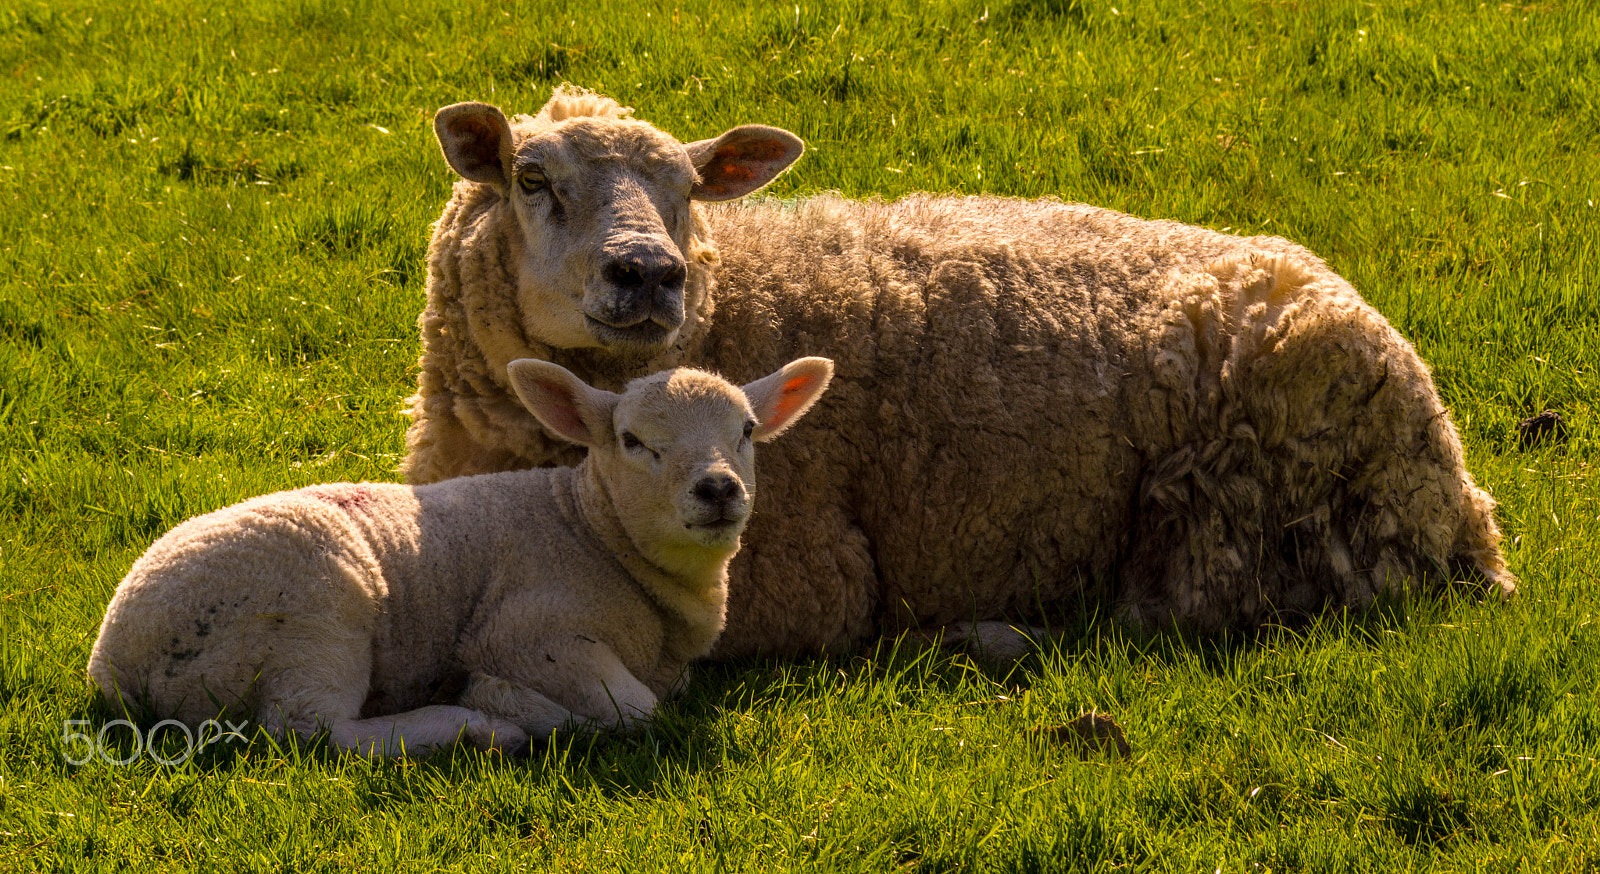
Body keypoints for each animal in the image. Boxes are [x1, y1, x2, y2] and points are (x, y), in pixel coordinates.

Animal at [84, 353, 838, 755]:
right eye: (633, 441)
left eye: (747, 430)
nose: (718, 489)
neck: (592, 530)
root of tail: (113, 660)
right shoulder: (527, 632)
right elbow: (635, 711)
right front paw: (508, 699)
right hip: (315, 610)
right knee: (311, 729)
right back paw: (475, 722)